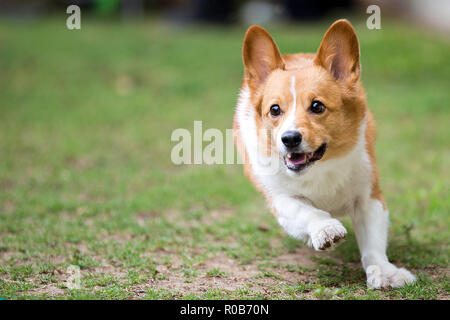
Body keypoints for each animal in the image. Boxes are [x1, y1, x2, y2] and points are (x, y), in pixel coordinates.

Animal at [234, 20, 416, 290]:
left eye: (317, 106)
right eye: (275, 109)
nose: (289, 139)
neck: (320, 167)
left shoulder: (369, 197)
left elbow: (373, 243)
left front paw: (384, 272)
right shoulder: (280, 199)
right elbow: (306, 210)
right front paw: (325, 229)